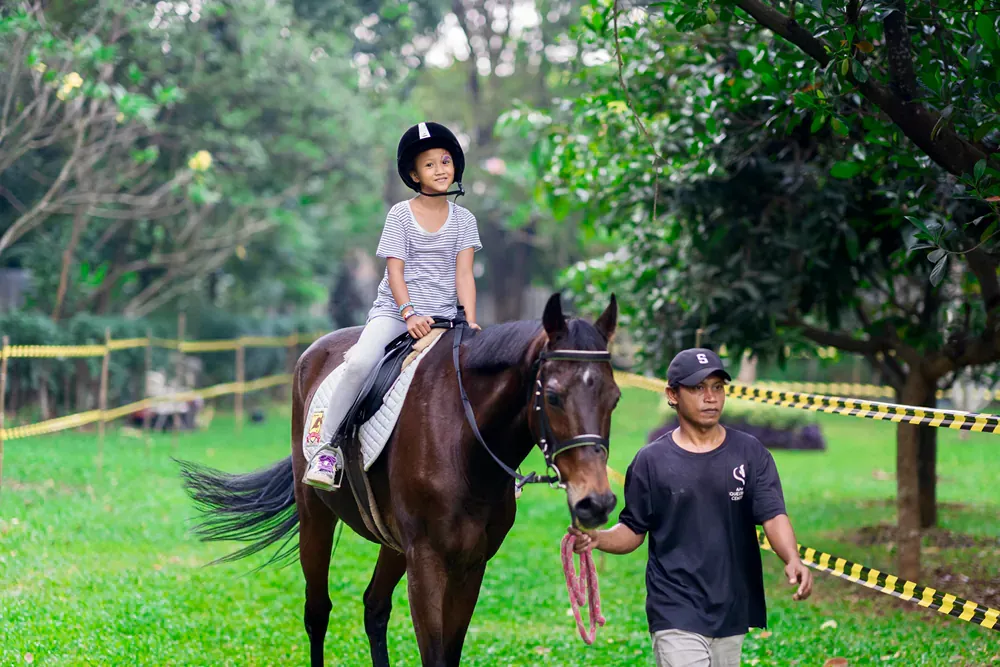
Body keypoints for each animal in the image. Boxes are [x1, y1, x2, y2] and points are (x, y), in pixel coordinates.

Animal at [178, 293, 621, 666]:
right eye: (554, 396)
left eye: (614, 398)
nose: (596, 502)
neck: (464, 442)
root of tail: (312, 353)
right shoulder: (427, 560)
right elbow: (434, 655)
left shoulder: (471, 563)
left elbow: (447, 653)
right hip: (316, 516)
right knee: (317, 611)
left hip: (393, 542)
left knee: (374, 607)